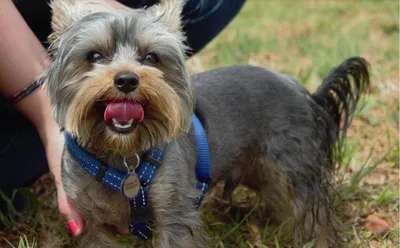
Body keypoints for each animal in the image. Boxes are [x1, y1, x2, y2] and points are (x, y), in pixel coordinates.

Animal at [39, 0, 370, 247]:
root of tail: (306, 94)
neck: (121, 156)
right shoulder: (92, 222)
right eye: (94, 56)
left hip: (293, 170)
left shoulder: (174, 215)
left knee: (315, 219)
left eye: (151, 58)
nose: (127, 79)